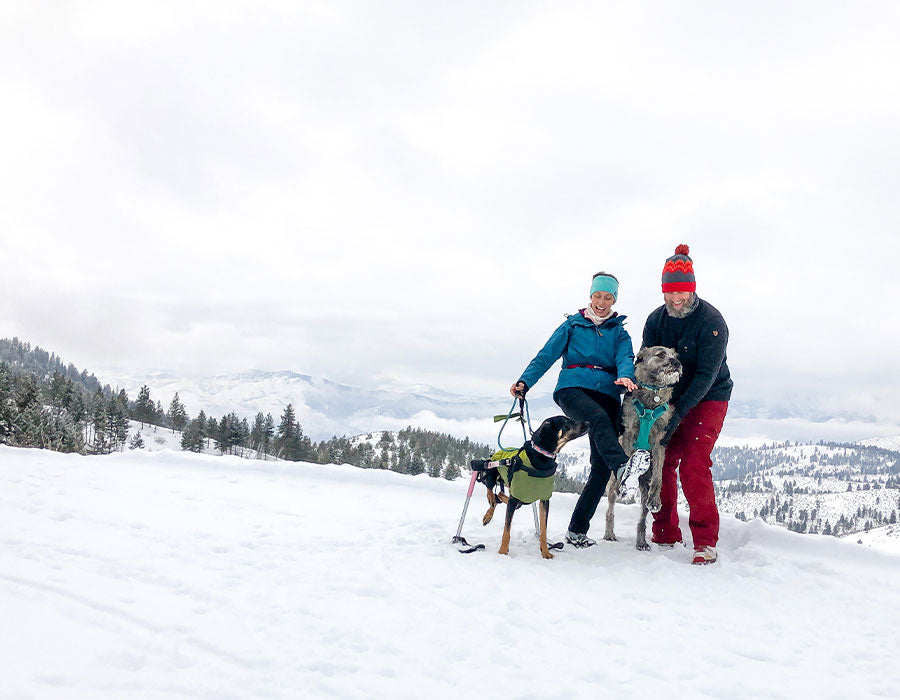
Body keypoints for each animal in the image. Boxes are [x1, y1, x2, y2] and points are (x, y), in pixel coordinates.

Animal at [472, 416, 592, 556]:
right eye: (566, 421)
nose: (588, 422)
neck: (541, 458)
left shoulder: (544, 500)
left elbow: (543, 530)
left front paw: (545, 552)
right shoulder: (514, 497)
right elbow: (507, 530)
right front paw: (503, 552)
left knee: (501, 496)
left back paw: (498, 500)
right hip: (492, 472)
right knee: (491, 492)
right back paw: (488, 512)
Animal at [604, 348, 684, 548]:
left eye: (675, 356)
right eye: (661, 354)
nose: (677, 363)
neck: (653, 393)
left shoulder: (659, 442)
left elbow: (658, 476)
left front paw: (656, 499)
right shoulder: (629, 433)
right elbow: (625, 456)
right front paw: (624, 475)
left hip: (643, 488)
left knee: (642, 515)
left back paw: (641, 540)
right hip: (612, 490)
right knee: (610, 508)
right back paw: (609, 532)